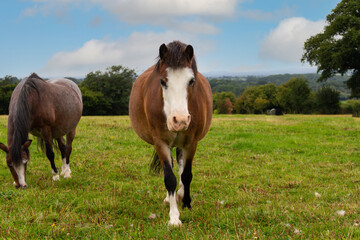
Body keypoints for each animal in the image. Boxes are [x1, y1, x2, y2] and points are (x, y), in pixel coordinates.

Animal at [129, 40, 212, 226]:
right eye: (162, 81)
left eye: (191, 80)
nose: (180, 120)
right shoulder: (160, 142)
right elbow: (169, 178)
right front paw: (174, 217)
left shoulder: (191, 143)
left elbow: (186, 175)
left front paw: (187, 203)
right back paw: (170, 198)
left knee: (180, 164)